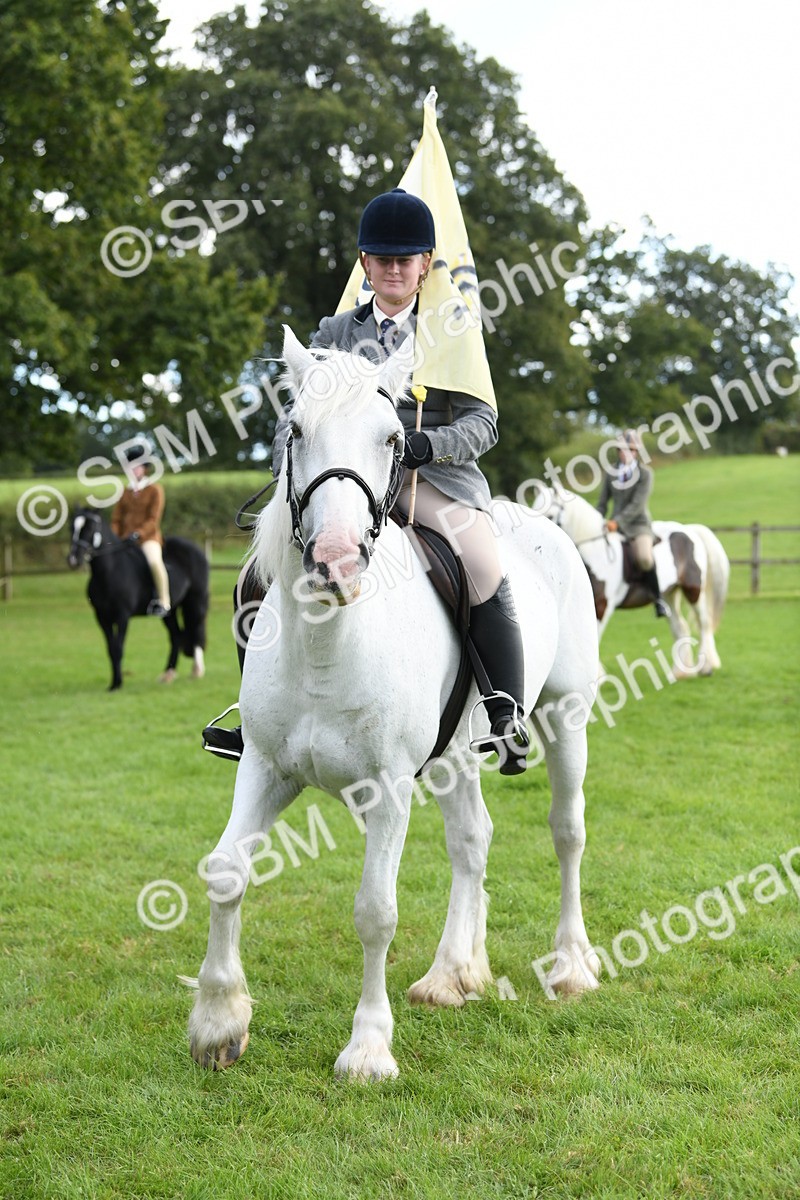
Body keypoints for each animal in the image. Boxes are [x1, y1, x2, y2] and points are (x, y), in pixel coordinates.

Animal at [67, 507, 210, 690]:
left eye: (90, 527)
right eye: (72, 527)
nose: (73, 559)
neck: (109, 571)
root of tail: (195, 549)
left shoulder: (122, 616)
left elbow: (118, 648)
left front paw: (118, 684)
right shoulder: (102, 617)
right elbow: (111, 649)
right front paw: (113, 683)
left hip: (195, 602)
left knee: (196, 631)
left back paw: (197, 671)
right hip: (169, 611)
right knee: (176, 636)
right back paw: (168, 674)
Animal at [186, 327, 602, 1082]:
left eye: (392, 438)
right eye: (296, 429)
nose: (336, 561)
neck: (329, 641)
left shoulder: (388, 789)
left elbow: (375, 910)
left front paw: (368, 1048)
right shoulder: (265, 767)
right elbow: (226, 871)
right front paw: (217, 1024)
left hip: (567, 718)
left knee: (567, 831)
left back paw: (570, 965)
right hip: (454, 757)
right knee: (473, 840)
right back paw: (451, 975)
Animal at [541, 486, 729, 676]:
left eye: (549, 516)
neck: (595, 551)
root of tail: (689, 530)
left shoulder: (602, 604)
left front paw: (598, 676)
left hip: (693, 590)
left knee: (704, 624)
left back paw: (705, 667)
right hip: (669, 594)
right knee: (680, 628)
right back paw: (679, 672)